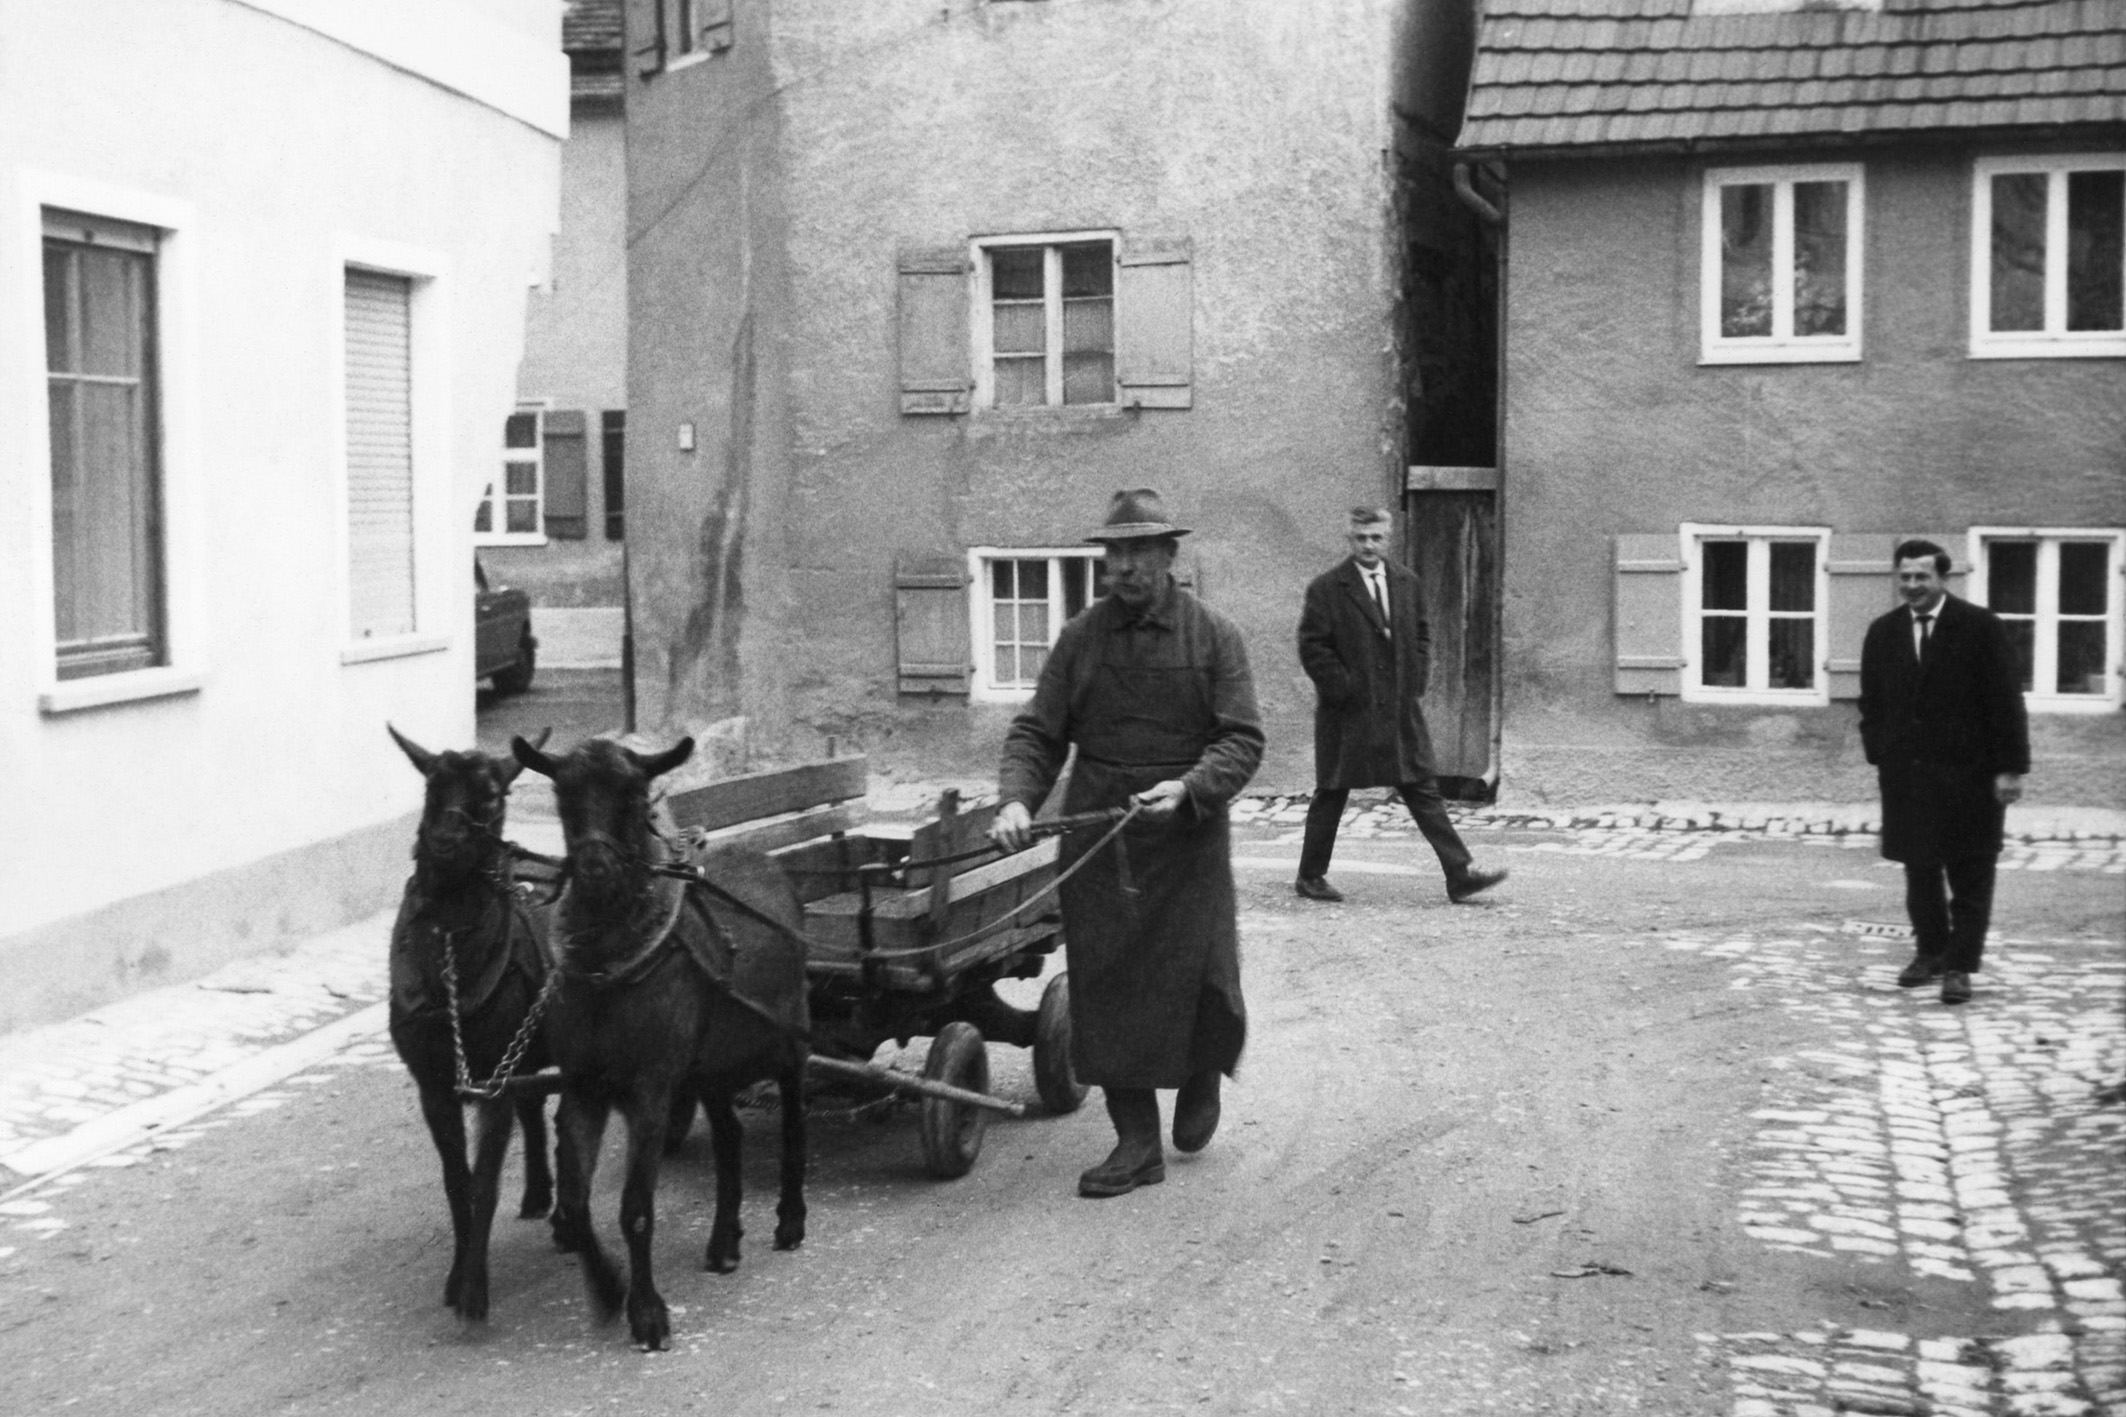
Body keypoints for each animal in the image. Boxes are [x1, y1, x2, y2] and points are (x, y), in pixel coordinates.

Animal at [386, 726, 561, 1325]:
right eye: (429, 787)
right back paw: (539, 1196)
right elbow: (456, 1181)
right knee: (538, 1106)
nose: (443, 841)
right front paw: (455, 1275)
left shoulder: (491, 1079)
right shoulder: (435, 1082)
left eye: (492, 794)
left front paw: (473, 1291)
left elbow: (484, 1183)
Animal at [514, 730, 812, 1351]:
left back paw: (791, 1220)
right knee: (728, 1137)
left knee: (795, 1122)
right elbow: (575, 1202)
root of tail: (770, 864)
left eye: (634, 799)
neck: (611, 972)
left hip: (790, 1035)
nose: (595, 868)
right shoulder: (584, 1086)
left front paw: (647, 1311)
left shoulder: (650, 1087)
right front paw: (607, 1288)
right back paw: (724, 1243)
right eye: (562, 799)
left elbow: (635, 1210)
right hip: (711, 1066)